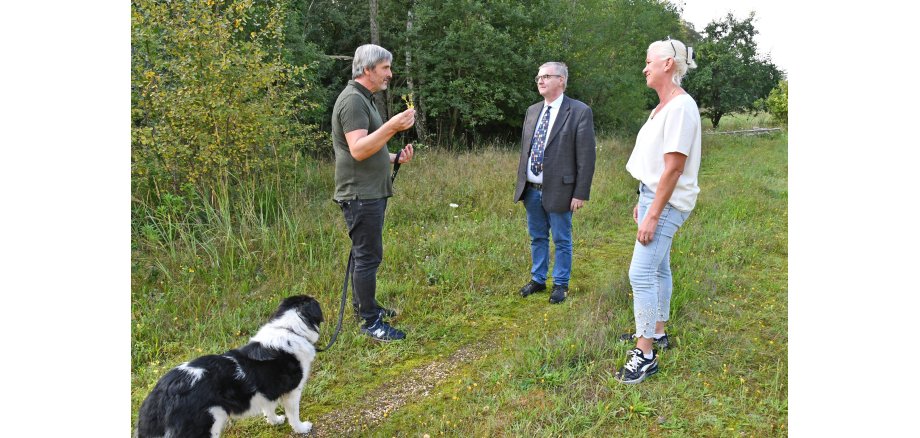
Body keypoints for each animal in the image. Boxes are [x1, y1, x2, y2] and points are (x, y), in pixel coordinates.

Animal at [137, 296, 324, 436]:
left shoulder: (266, 391)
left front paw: (275, 421)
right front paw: (302, 428)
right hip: (206, 425)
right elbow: (293, 415)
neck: (289, 330)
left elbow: (269, 408)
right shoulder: (293, 392)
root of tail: (162, 394)